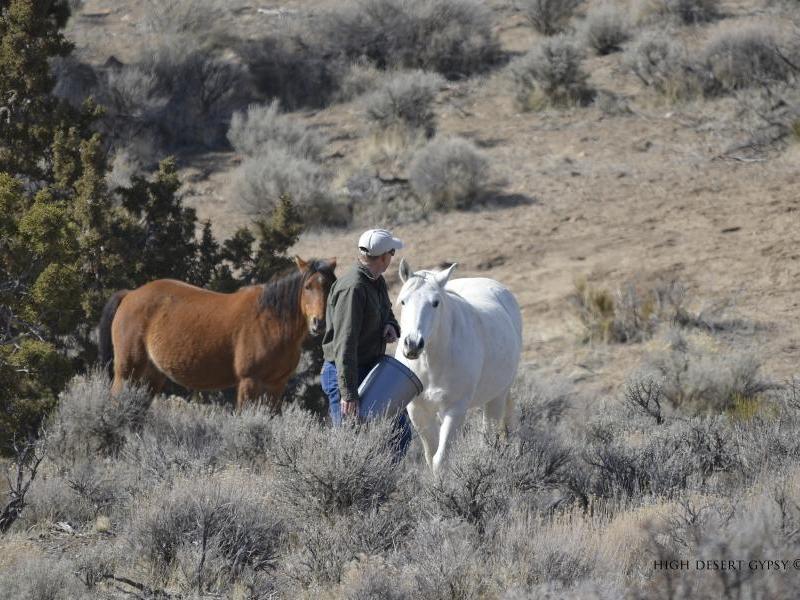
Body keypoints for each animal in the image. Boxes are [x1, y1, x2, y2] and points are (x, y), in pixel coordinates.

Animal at [98, 256, 336, 410]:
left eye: (330, 286)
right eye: (307, 286)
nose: (319, 323)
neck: (272, 320)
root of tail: (130, 295)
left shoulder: (276, 385)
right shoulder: (249, 381)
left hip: (151, 375)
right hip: (127, 371)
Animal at [394, 258, 522, 472]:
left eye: (435, 303)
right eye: (403, 301)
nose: (412, 344)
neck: (431, 364)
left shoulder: (454, 410)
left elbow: (440, 459)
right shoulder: (418, 411)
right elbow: (431, 456)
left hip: (497, 396)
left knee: (490, 437)